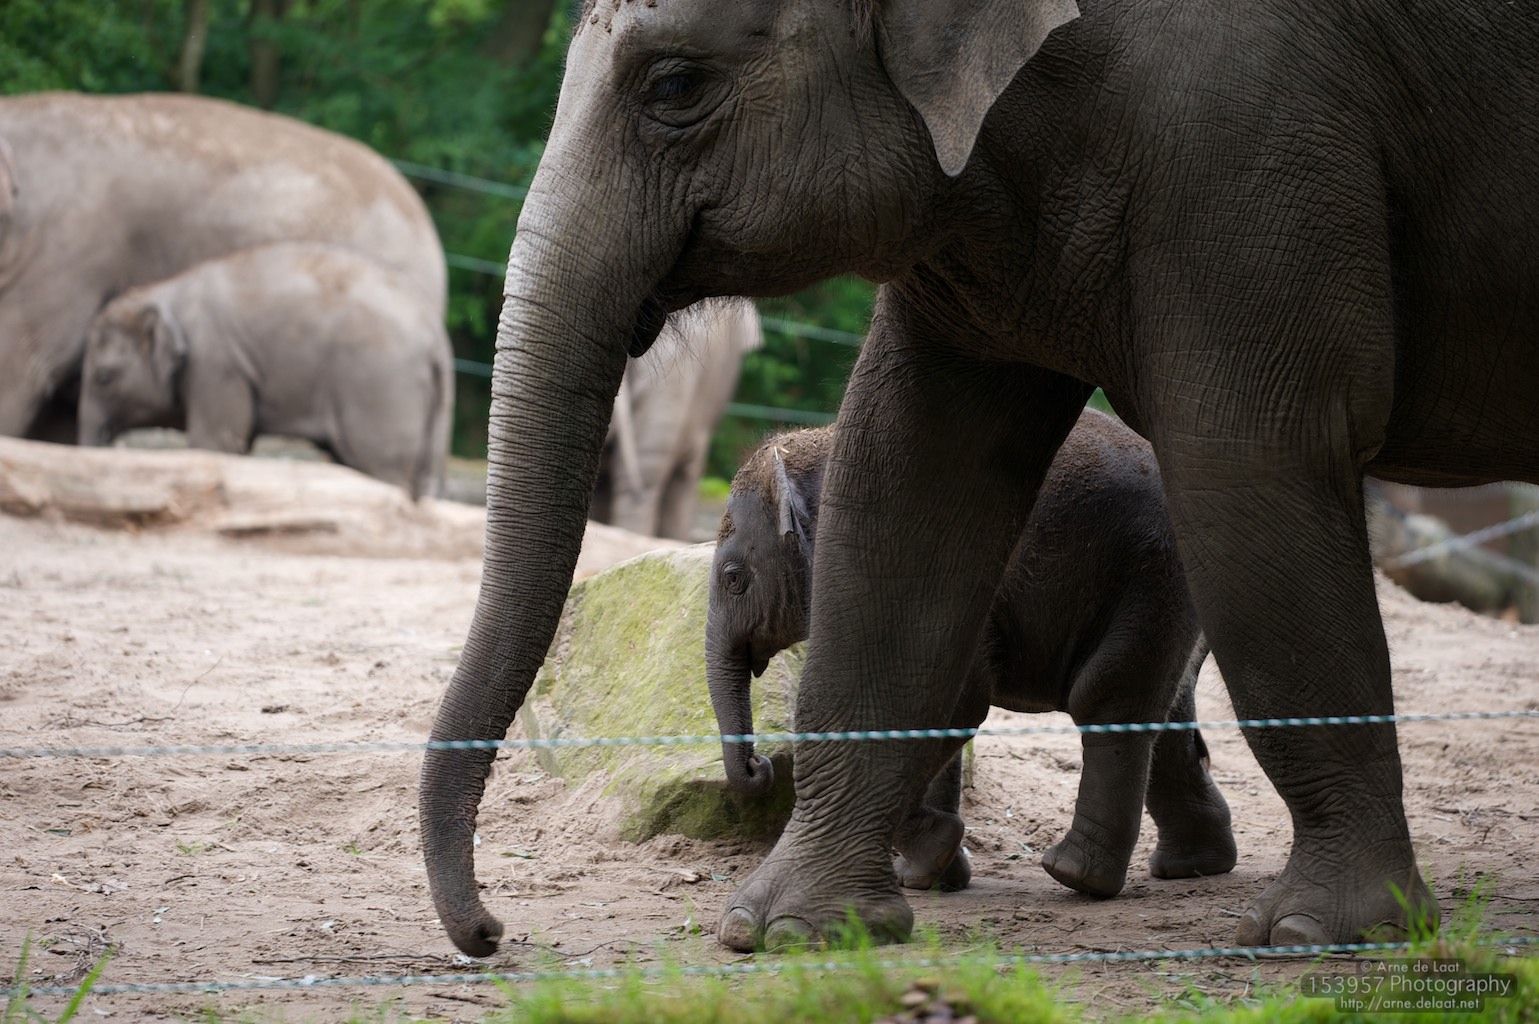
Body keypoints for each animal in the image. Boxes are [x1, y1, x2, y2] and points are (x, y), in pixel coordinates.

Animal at [78, 242, 453, 499]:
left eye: (104, 377)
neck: (164, 290)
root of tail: (433, 333)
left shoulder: (215, 360)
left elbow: (214, 441)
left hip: (378, 383)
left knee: (380, 467)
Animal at [708, 412, 1236, 898]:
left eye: (734, 579)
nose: (759, 766)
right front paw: (930, 877)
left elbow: (950, 700)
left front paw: (930, 859)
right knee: (1166, 708)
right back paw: (1192, 868)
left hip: (1153, 568)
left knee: (1109, 694)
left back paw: (1075, 876)